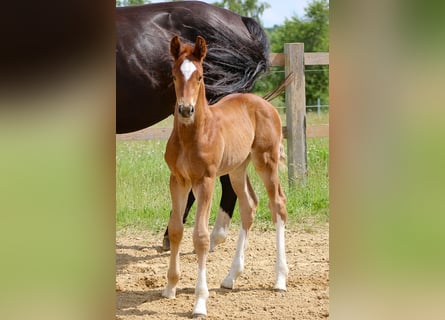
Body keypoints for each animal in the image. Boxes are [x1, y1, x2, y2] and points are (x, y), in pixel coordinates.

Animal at [163, 35, 288, 318]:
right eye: (174, 75)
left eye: (199, 76)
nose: (185, 110)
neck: (193, 135)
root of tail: (265, 104)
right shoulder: (178, 180)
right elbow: (176, 229)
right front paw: (170, 287)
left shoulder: (205, 181)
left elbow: (200, 237)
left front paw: (199, 302)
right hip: (237, 169)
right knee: (249, 205)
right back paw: (231, 278)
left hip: (266, 161)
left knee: (277, 205)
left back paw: (280, 279)